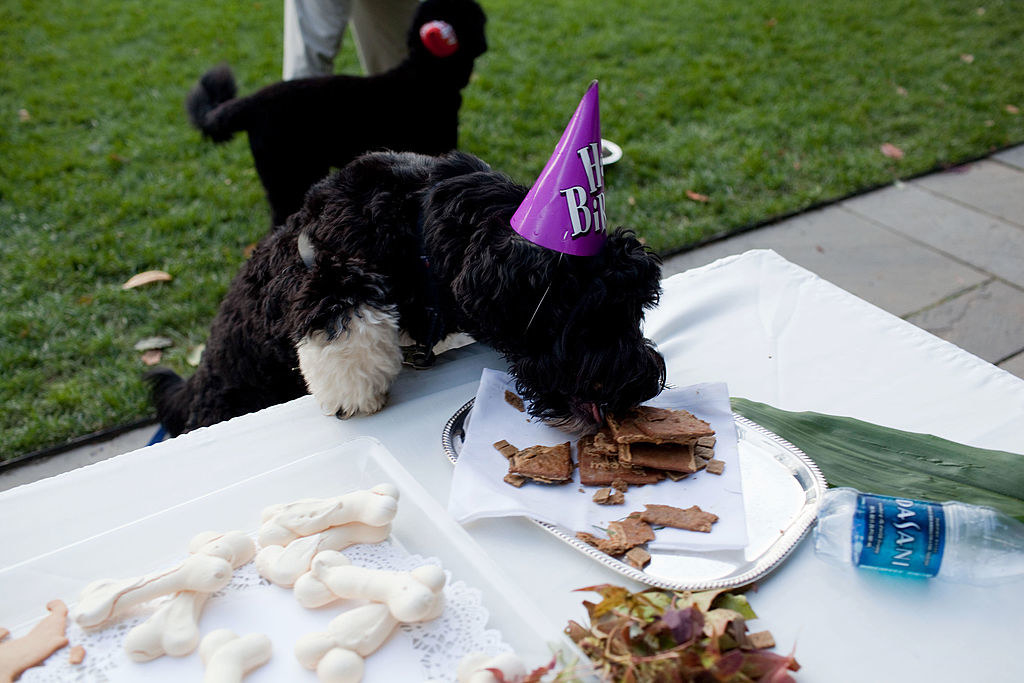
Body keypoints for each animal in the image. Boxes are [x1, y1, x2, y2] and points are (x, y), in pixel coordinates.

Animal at [148, 150, 667, 438]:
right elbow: (344, 310)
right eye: (591, 315)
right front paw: (354, 391)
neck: (421, 227)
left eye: (637, 309)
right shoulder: (312, 267)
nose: (642, 384)